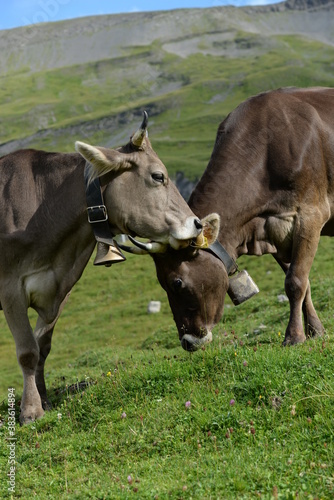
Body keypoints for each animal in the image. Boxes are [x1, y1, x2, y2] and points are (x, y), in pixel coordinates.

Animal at [0, 113, 206, 422]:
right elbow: (27, 351)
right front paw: (31, 411)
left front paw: (44, 399)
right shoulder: (10, 287)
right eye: (158, 176)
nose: (197, 224)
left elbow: (42, 346)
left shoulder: (61, 290)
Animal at [151, 87, 334, 352]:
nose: (188, 341)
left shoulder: (310, 215)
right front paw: (315, 331)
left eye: (176, 282)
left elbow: (295, 282)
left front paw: (294, 336)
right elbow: (304, 283)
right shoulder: (273, 230)